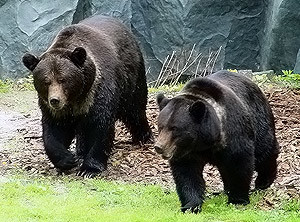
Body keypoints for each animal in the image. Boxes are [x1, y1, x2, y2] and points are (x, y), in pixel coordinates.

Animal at [22, 15, 152, 177]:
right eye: (46, 81)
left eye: (63, 79)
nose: (55, 100)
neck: (76, 97)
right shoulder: (55, 110)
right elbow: (53, 131)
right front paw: (67, 159)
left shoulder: (98, 92)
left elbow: (100, 126)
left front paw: (89, 169)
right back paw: (80, 152)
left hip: (131, 78)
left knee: (135, 110)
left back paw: (143, 137)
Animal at [155, 70, 278, 213]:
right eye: (161, 126)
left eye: (174, 128)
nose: (159, 147)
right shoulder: (186, 152)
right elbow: (187, 174)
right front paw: (191, 206)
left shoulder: (233, 133)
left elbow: (240, 162)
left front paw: (238, 200)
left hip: (258, 118)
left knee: (265, 151)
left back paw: (264, 181)